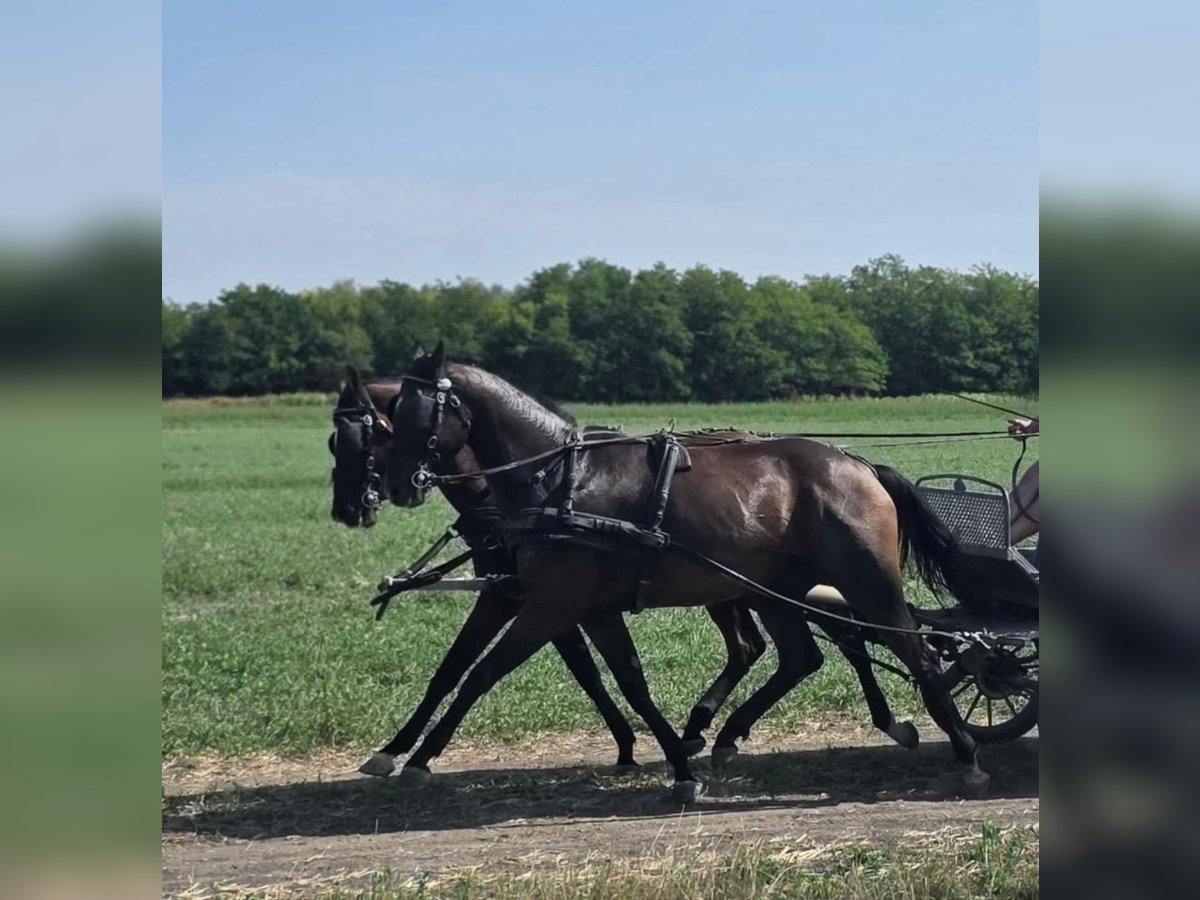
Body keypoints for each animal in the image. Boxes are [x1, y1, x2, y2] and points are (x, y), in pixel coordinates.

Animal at [380, 346, 979, 802]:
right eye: (386, 417)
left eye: (413, 414)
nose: (396, 485)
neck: (559, 481)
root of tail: (857, 465)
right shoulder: (586, 608)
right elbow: (628, 683)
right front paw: (675, 761)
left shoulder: (548, 605)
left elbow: (479, 673)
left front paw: (419, 757)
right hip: (778, 592)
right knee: (803, 657)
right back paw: (727, 734)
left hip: (866, 584)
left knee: (916, 655)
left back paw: (965, 750)